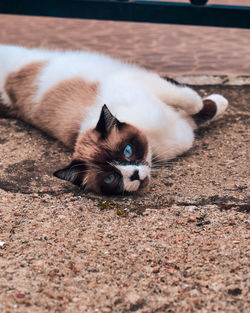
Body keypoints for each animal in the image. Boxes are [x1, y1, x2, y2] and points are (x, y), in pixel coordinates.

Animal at [0, 44, 229, 194]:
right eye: (111, 178)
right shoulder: (180, 131)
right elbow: (196, 115)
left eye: (127, 151)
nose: (134, 175)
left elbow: (193, 102)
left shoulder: (143, 82)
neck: (153, 143)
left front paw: (221, 102)